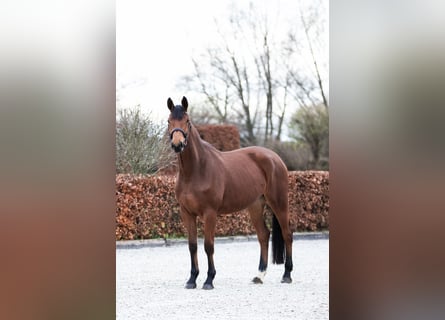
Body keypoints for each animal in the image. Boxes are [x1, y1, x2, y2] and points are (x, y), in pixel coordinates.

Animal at [166, 96, 292, 288]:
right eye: (169, 121)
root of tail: (275, 158)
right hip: (256, 206)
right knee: (263, 235)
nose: (177, 144)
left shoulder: (210, 213)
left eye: (187, 121)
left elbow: (208, 245)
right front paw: (192, 279)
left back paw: (287, 275)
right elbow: (192, 245)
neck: (196, 170)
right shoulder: (186, 213)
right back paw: (259, 275)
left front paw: (209, 280)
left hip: (279, 203)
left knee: (287, 234)